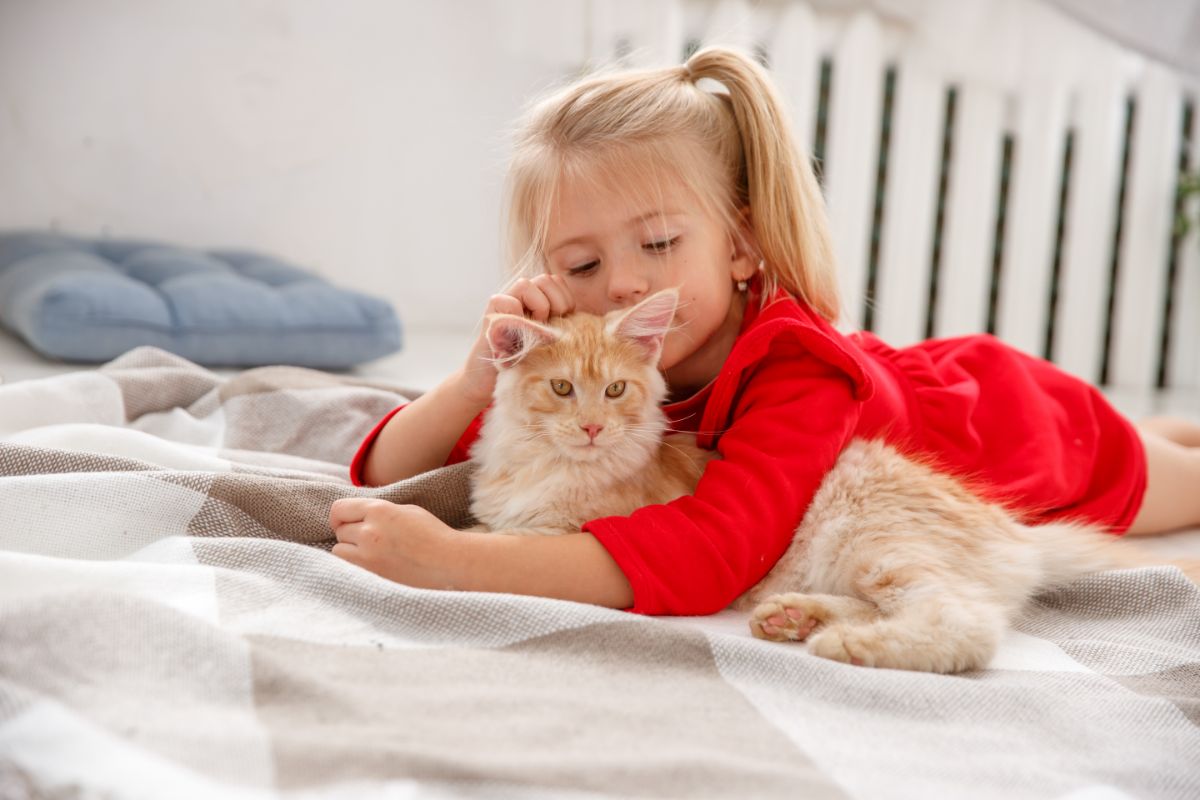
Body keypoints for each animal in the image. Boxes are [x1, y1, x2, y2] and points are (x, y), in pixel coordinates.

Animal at [465, 291, 1190, 671]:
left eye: (615, 390)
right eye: (562, 389)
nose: (592, 428)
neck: (544, 465)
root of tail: (1019, 534)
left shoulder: (575, 531)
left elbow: (508, 543)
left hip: (873, 536)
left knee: (966, 625)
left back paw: (845, 642)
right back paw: (795, 618)